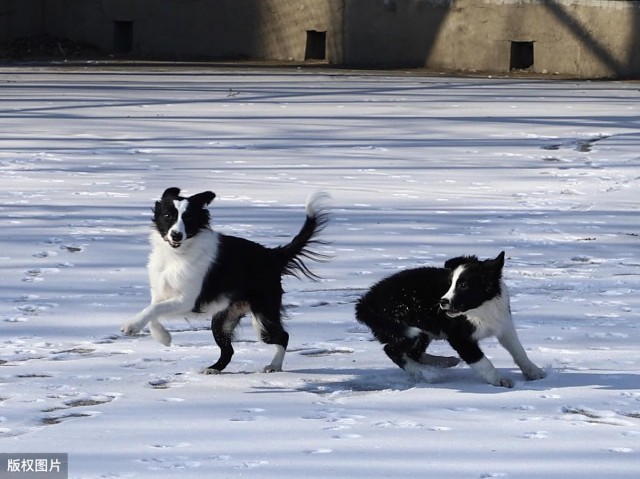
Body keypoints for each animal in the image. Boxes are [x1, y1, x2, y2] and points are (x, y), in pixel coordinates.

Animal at [121, 188, 330, 376]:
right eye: (167, 216)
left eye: (188, 219)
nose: (176, 235)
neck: (177, 255)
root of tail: (273, 255)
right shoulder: (162, 294)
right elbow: (153, 312)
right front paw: (164, 338)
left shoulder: (188, 300)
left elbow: (153, 309)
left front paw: (132, 326)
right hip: (222, 319)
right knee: (229, 350)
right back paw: (213, 368)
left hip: (263, 317)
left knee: (282, 337)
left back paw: (274, 366)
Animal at [356, 253, 544, 388]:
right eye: (450, 284)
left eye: (463, 285)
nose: (442, 302)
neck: (480, 308)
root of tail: (366, 301)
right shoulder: (460, 337)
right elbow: (481, 360)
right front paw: (498, 379)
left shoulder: (504, 325)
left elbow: (519, 351)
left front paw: (533, 371)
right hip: (405, 328)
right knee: (393, 350)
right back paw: (426, 373)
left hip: (423, 331)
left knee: (413, 353)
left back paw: (443, 362)